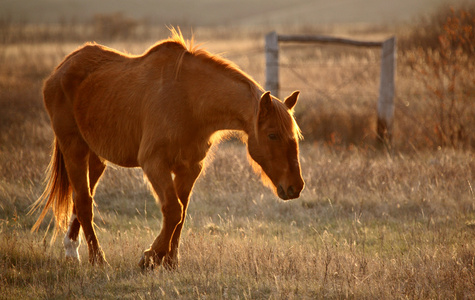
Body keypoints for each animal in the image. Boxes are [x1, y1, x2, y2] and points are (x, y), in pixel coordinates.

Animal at [29, 28, 304, 270]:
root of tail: (61, 69)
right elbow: (173, 211)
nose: (296, 187)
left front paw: (170, 262)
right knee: (84, 202)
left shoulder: (189, 168)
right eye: (272, 135)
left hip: (96, 158)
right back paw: (97, 260)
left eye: (295, 137)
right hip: (73, 148)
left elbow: (181, 214)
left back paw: (71, 250)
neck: (189, 101)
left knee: (81, 199)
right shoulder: (154, 164)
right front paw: (150, 258)